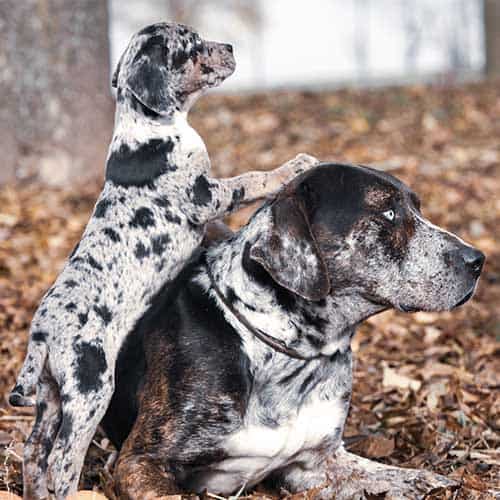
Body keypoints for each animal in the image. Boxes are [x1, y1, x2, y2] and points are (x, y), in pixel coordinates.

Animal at [10, 21, 316, 498]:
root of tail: (41, 333)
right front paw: (293, 166)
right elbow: (252, 179)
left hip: (51, 393)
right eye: (191, 48)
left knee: (33, 449)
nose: (230, 47)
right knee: (61, 459)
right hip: (89, 388)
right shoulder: (206, 195)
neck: (146, 128)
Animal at [102, 162, 484, 498]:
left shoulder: (318, 465)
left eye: (417, 208)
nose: (477, 260)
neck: (288, 350)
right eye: (388, 213)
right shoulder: (141, 460)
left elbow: (395, 475)